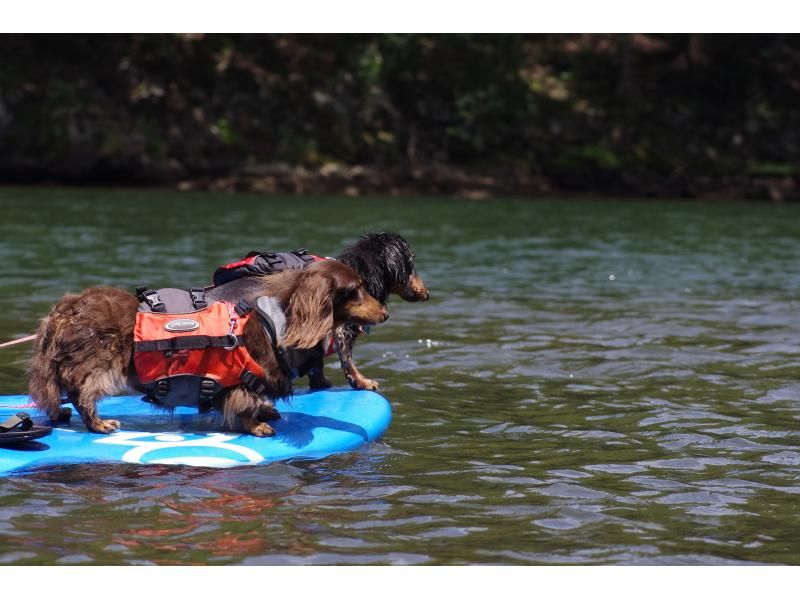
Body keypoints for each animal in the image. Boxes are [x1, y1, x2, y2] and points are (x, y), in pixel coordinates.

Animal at [30, 260, 390, 438]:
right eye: (357, 289)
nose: (386, 313)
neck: (276, 317)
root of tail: (65, 308)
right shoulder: (240, 380)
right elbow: (241, 403)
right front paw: (257, 424)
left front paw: (265, 410)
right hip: (99, 364)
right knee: (80, 392)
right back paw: (98, 424)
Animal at [209, 232, 428, 392]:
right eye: (411, 264)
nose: (426, 294)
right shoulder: (340, 329)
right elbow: (346, 359)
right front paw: (362, 382)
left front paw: (321, 384)